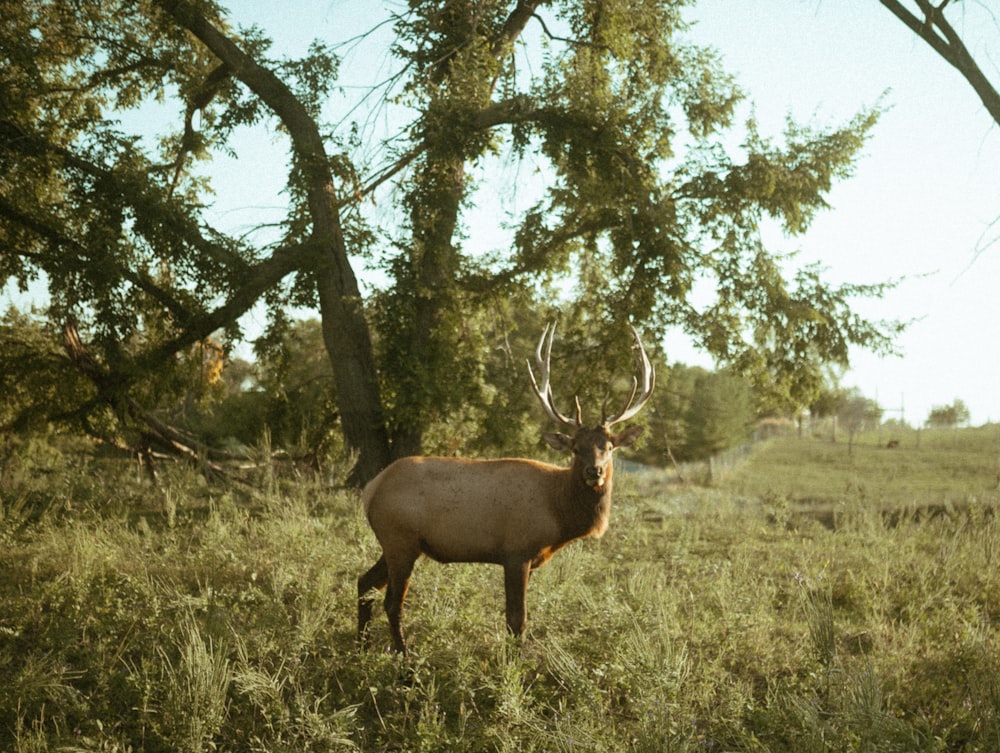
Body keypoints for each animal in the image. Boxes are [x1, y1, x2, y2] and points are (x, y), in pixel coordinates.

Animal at [356, 322, 652, 652]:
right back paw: (403, 658)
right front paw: (513, 662)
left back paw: (361, 646)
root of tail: (372, 489)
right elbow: (516, 620)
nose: (594, 471)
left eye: (609, 447)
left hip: (398, 543)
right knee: (392, 601)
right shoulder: (516, 551)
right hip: (400, 539)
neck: (558, 513)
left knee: (364, 584)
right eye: (576, 448)